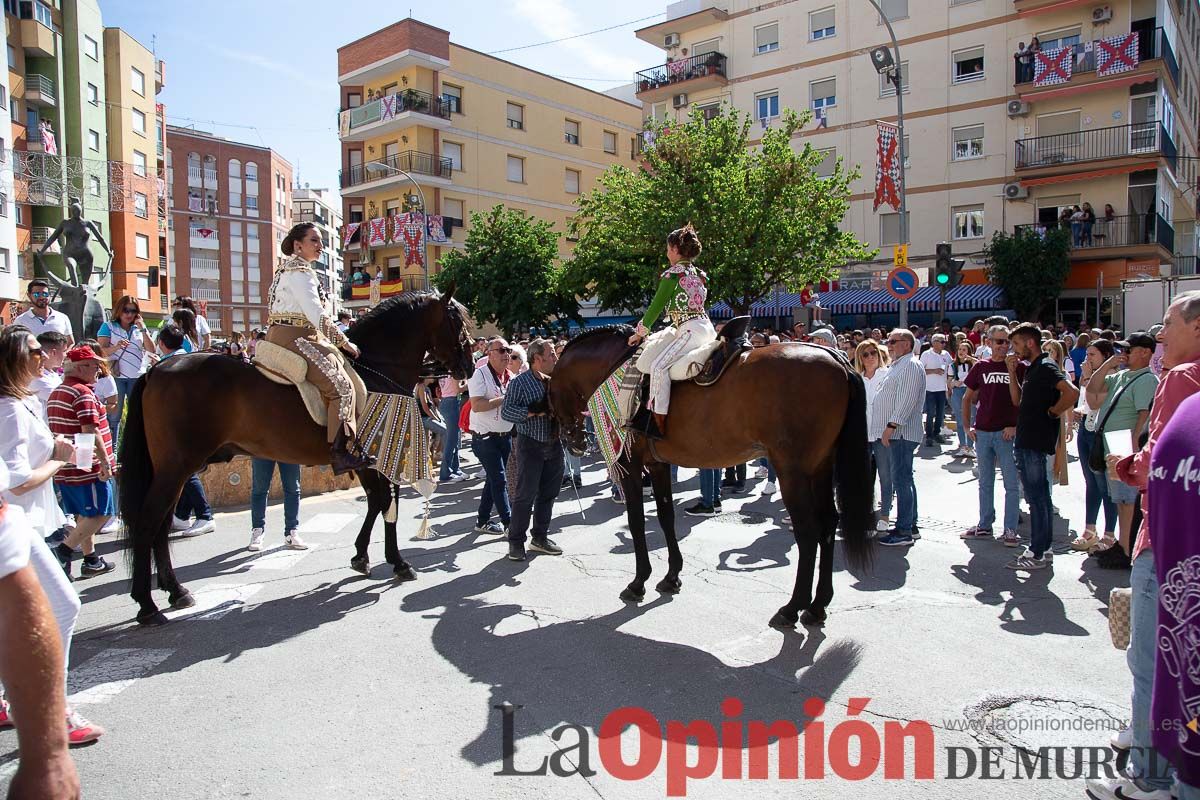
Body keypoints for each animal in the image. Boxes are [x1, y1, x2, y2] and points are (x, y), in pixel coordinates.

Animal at [117, 287, 472, 623]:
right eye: (457, 322)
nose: (468, 366)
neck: (375, 369)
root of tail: (158, 368)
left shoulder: (370, 459)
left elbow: (378, 501)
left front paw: (362, 556)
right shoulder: (378, 452)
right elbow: (386, 501)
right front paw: (397, 561)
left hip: (174, 470)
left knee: (160, 524)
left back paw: (176, 591)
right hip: (175, 467)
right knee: (149, 523)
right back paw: (148, 606)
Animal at [547, 326, 873, 633]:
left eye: (550, 393)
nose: (573, 440)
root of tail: (836, 358)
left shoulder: (630, 465)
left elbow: (637, 522)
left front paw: (638, 582)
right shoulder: (658, 464)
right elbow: (665, 516)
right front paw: (671, 576)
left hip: (792, 470)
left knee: (808, 532)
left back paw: (792, 608)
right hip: (821, 466)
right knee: (828, 524)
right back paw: (817, 606)